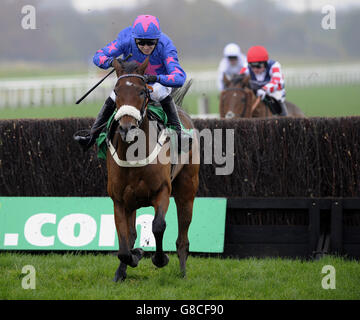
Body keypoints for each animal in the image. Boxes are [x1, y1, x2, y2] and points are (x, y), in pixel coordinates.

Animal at [108, 57, 201, 280]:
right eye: (116, 91)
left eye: (142, 91)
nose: (127, 128)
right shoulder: (119, 199)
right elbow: (124, 244)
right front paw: (134, 256)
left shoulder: (162, 191)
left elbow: (158, 226)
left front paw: (160, 259)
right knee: (131, 235)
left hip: (187, 189)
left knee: (183, 235)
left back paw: (182, 271)